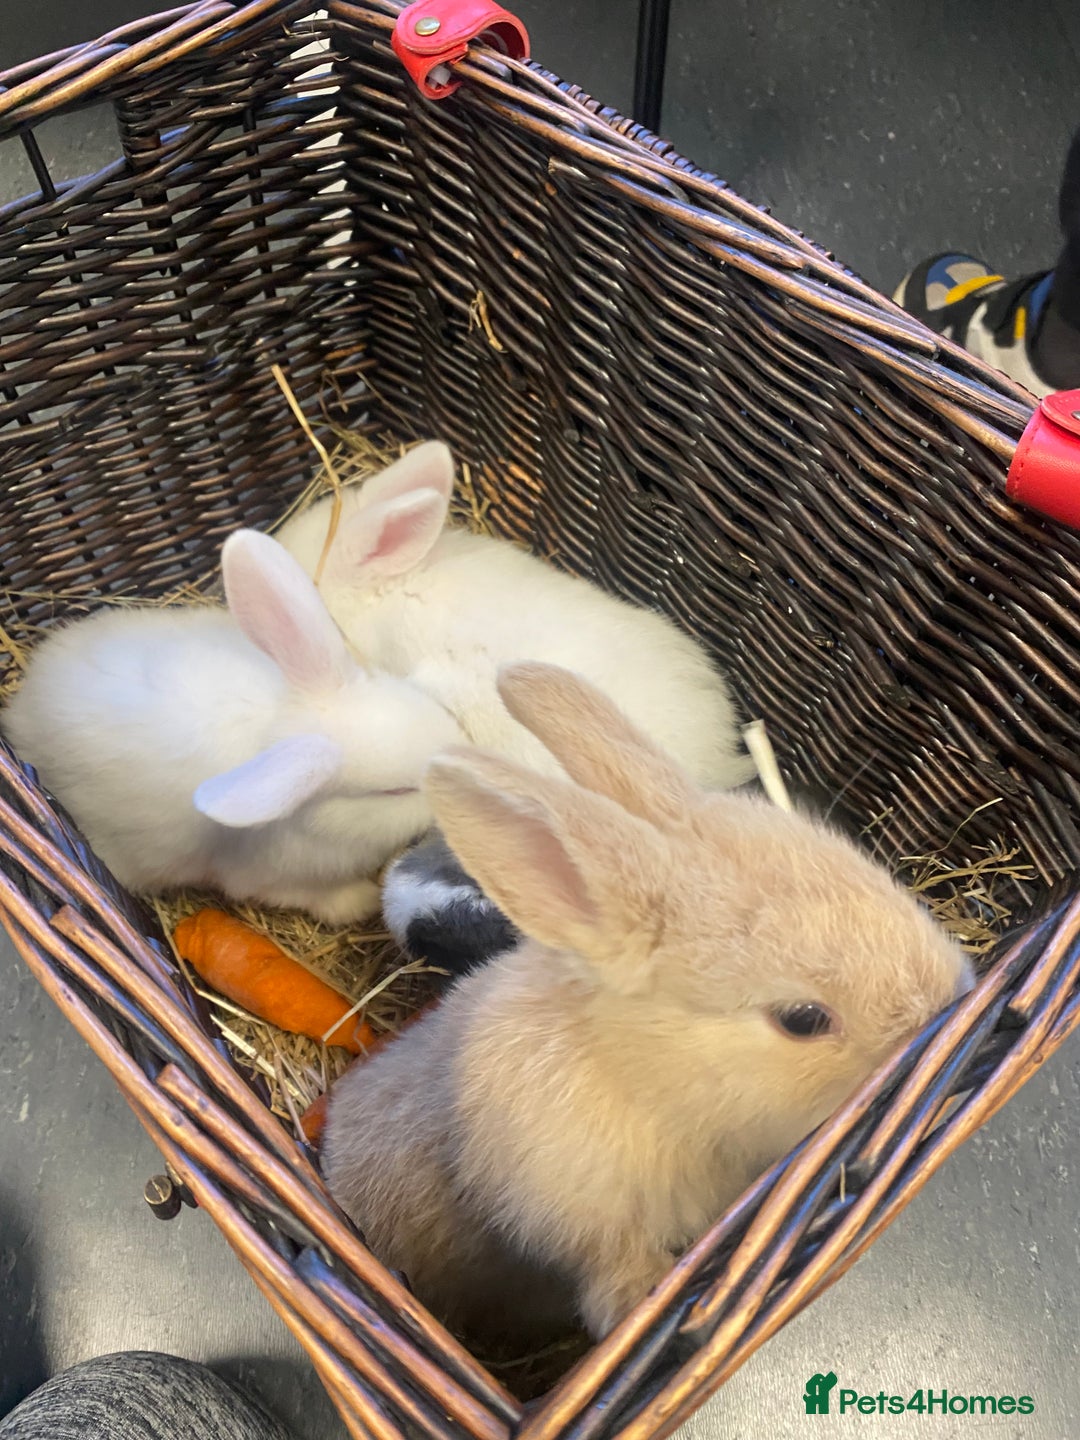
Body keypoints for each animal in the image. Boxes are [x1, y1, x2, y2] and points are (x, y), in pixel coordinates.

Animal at [2, 529, 463, 924]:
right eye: (395, 792)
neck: (282, 724)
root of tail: (21, 710)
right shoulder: (275, 878)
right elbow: (322, 898)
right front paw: (363, 901)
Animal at [323, 662, 975, 1345]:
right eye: (802, 1020)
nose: (951, 996)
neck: (647, 1082)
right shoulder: (577, 1213)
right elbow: (611, 1267)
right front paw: (642, 1305)